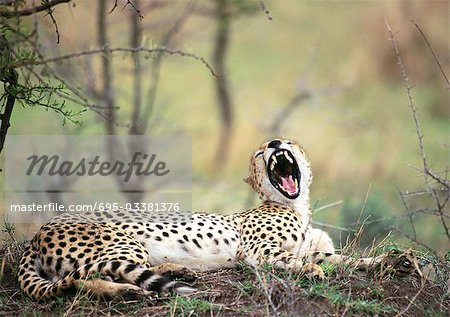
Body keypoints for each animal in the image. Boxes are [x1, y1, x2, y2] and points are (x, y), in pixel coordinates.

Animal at [17, 138, 414, 298]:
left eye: (286, 141)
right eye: (260, 152)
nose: (274, 143)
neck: (297, 206)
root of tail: (38, 232)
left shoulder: (325, 251)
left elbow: (351, 261)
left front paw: (397, 261)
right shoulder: (256, 252)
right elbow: (293, 261)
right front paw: (309, 271)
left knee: (82, 279)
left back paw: (177, 272)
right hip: (121, 244)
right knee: (86, 277)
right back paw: (127, 291)